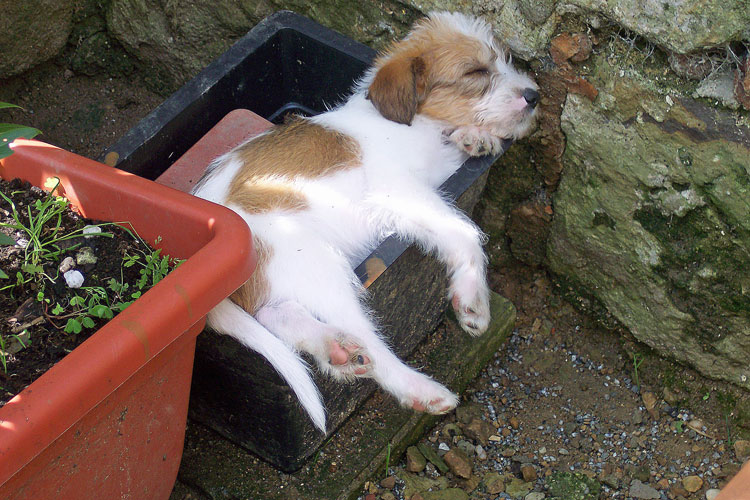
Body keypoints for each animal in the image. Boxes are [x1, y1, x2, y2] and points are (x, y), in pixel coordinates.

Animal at [192, 11, 538, 432]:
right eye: (475, 71)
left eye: (506, 60)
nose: (535, 96)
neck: (418, 124)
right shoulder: (400, 192)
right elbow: (465, 231)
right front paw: (472, 300)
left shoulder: (425, 191)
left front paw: (475, 138)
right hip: (315, 260)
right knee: (365, 338)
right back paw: (420, 389)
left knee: (277, 314)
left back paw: (335, 350)